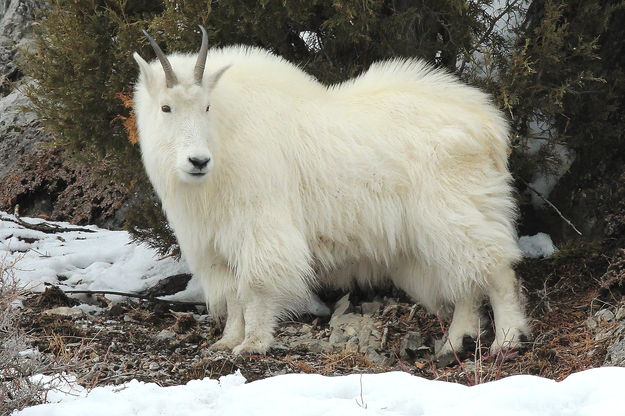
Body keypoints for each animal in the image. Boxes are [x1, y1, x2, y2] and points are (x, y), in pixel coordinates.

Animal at [133, 26, 528, 358]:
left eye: (206, 106)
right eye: (165, 107)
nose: (198, 161)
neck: (225, 135)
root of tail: (489, 126)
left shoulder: (261, 229)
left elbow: (255, 287)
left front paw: (253, 343)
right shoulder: (214, 242)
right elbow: (232, 295)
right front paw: (228, 340)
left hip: (458, 211)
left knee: (496, 270)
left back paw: (506, 340)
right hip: (433, 235)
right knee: (464, 281)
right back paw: (455, 341)